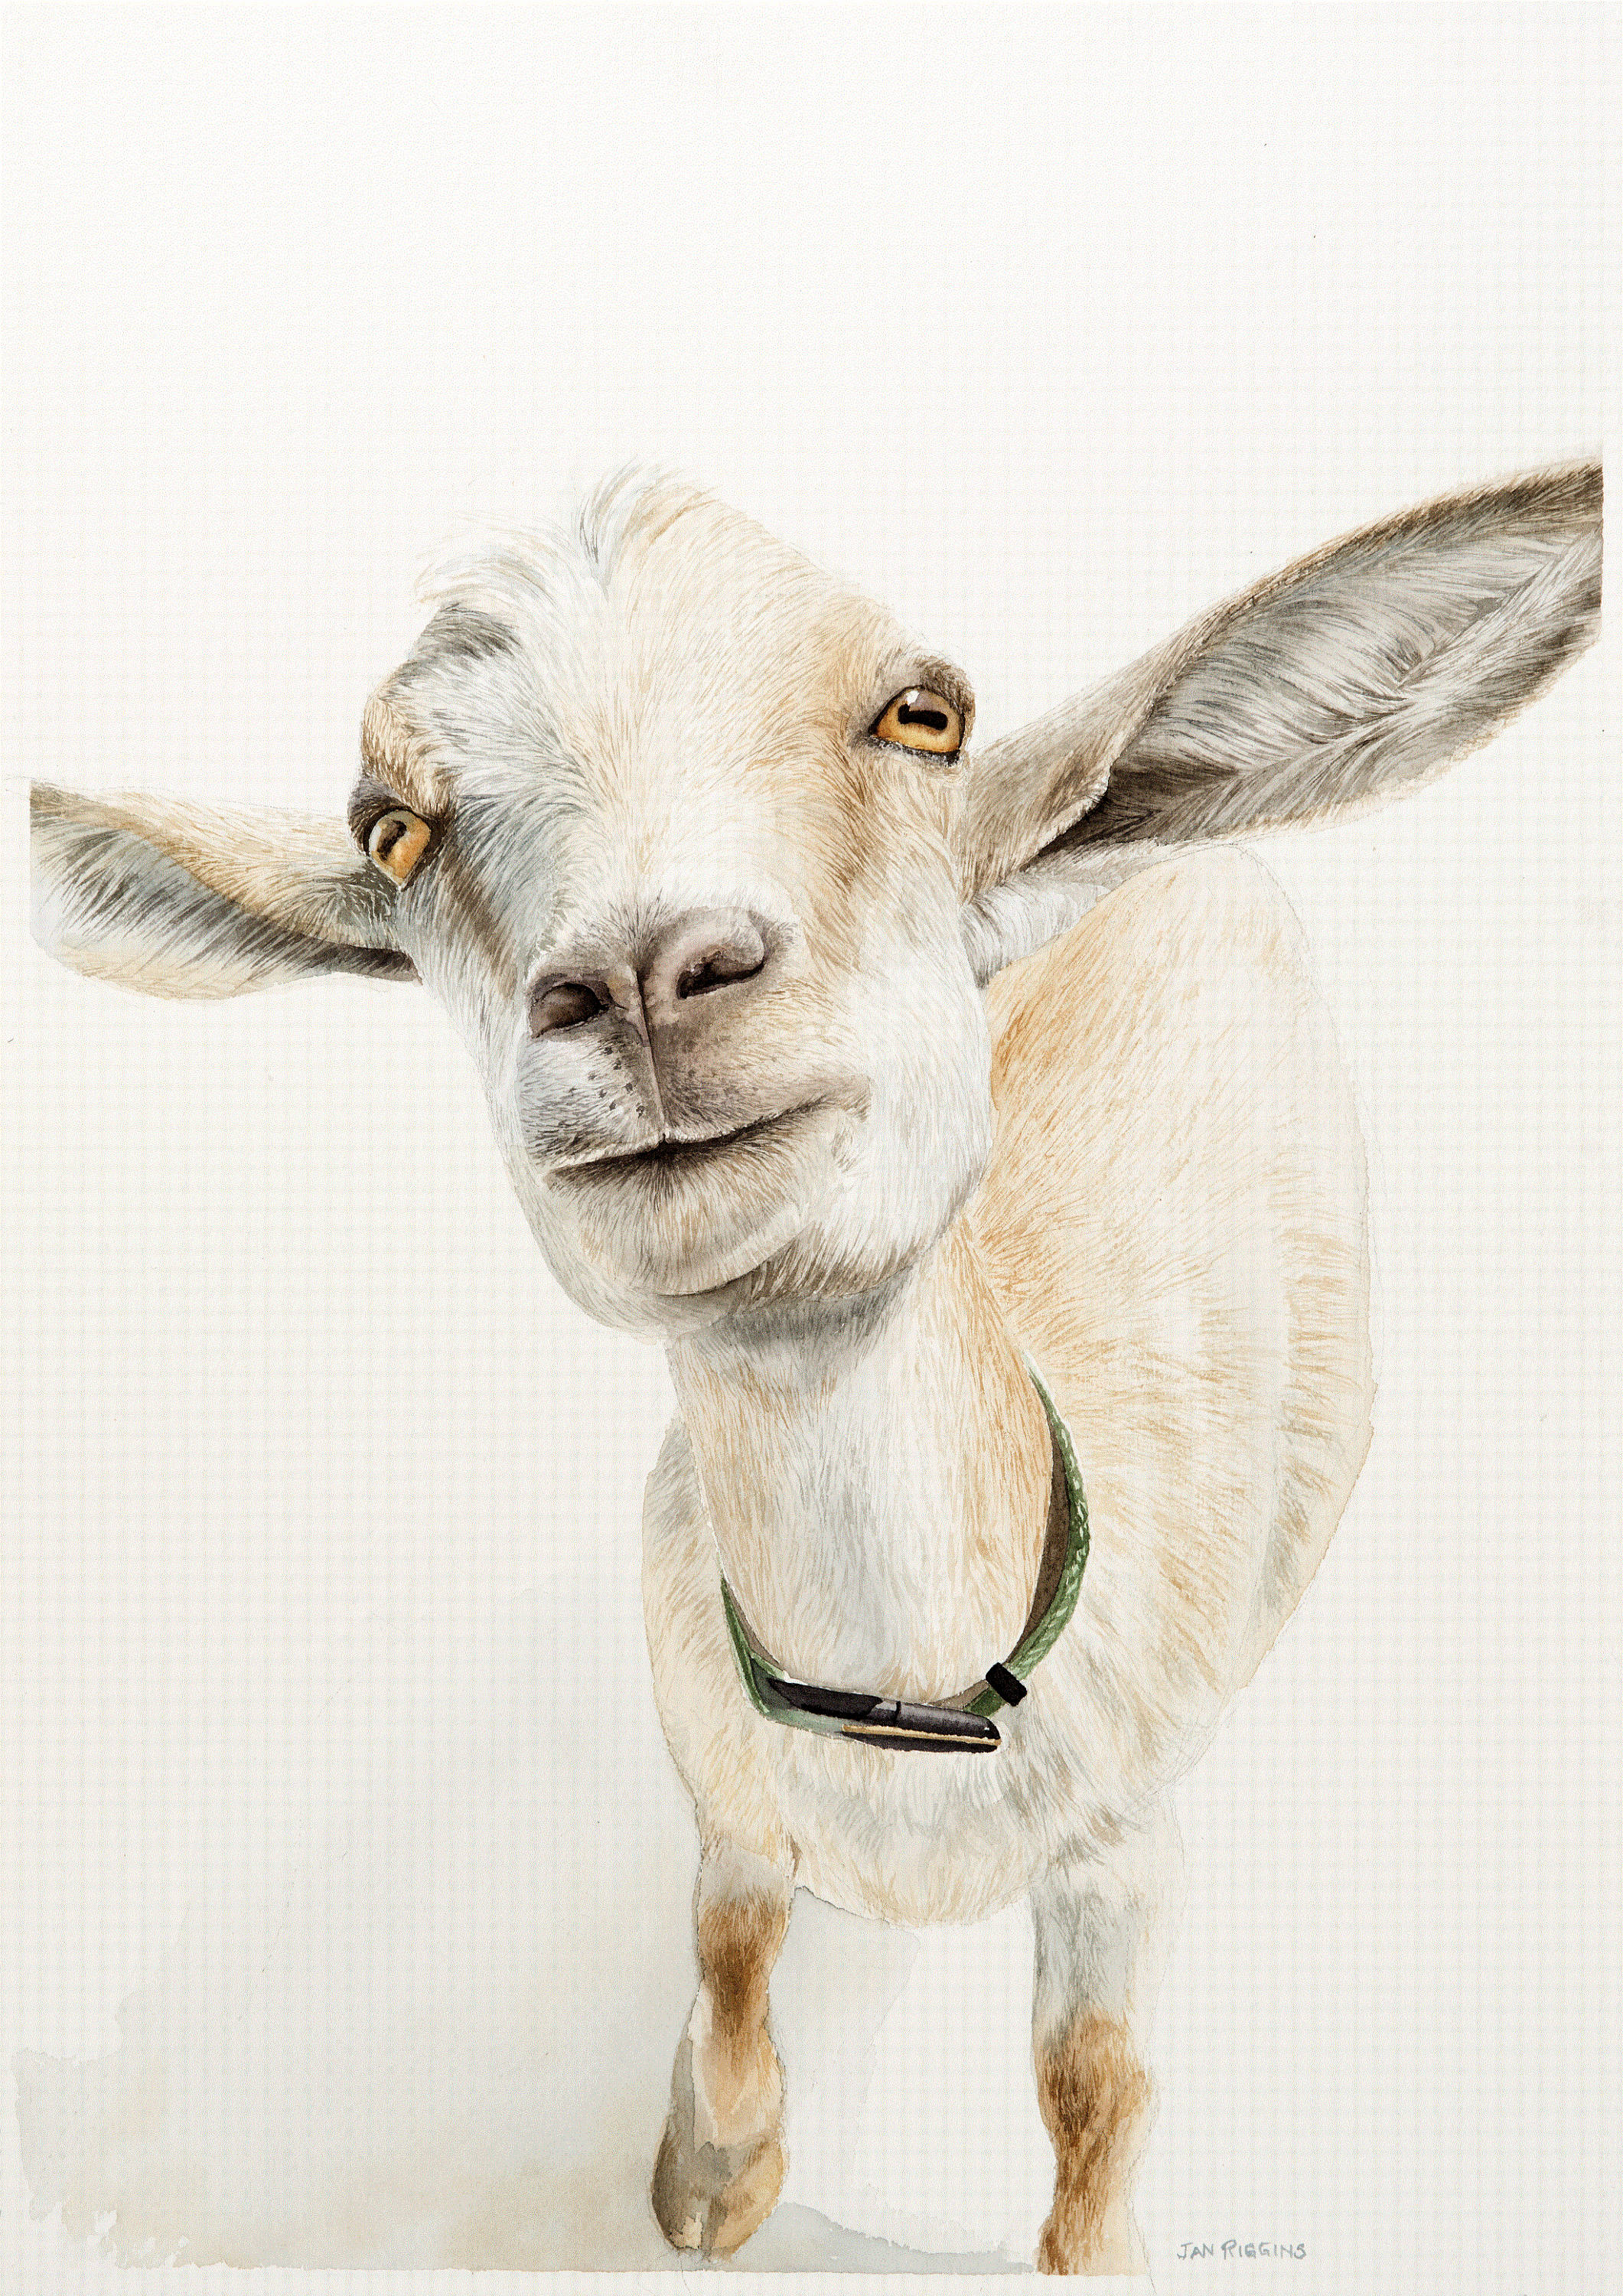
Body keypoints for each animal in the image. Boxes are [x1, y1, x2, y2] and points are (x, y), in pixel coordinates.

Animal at [29, 460, 1602, 2273]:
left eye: (921, 714)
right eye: (391, 831)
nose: (644, 975)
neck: (896, 1712)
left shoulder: (1125, 1849)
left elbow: (1094, 2085)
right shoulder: (714, 1773)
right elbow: (724, 1931)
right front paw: (709, 2181)